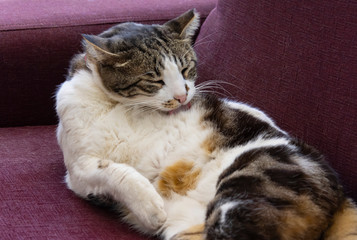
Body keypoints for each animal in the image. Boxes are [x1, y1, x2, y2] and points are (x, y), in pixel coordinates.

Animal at [55, 8, 356, 240]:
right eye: (154, 79)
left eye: (186, 68)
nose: (182, 96)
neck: (120, 105)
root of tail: (343, 197)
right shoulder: (78, 166)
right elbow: (113, 170)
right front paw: (151, 207)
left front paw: (151, 209)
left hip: (247, 187)